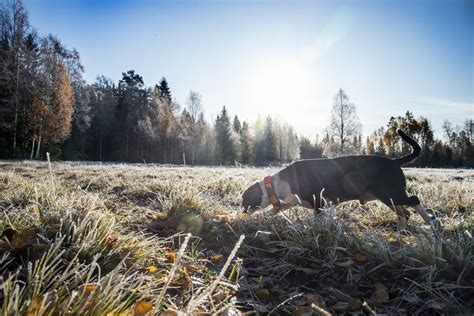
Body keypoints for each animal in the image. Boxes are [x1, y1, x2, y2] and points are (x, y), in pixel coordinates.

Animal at [243, 130, 438, 228]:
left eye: (244, 201)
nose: (242, 212)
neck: (276, 184)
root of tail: (395, 161)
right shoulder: (292, 201)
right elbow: (277, 209)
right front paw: (265, 215)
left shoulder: (318, 202)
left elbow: (318, 219)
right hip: (389, 198)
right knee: (404, 213)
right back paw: (400, 233)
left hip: (391, 193)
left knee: (414, 200)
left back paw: (431, 222)